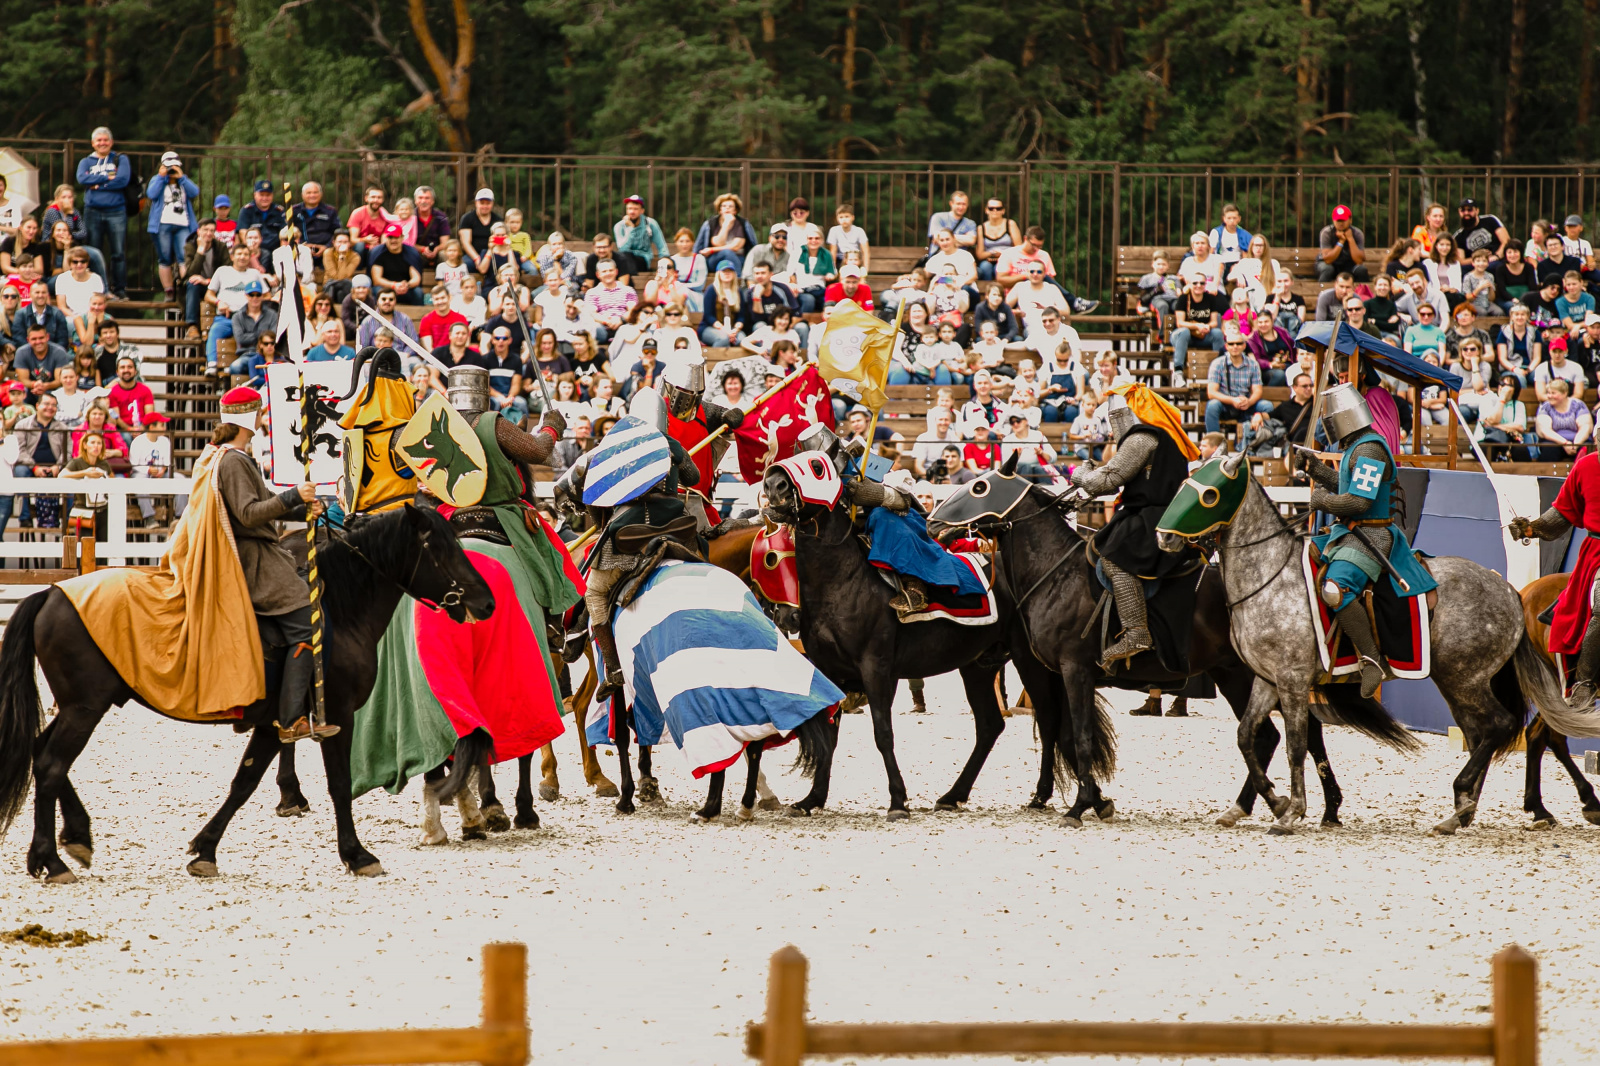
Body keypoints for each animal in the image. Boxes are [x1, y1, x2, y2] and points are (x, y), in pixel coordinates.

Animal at [0, 502, 492, 883]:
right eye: (439, 548)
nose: (485, 602)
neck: (335, 609)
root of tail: (51, 593)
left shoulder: (275, 724)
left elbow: (244, 782)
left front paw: (205, 850)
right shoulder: (336, 716)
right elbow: (337, 783)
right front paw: (357, 855)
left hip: (76, 707)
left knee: (42, 754)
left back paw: (71, 840)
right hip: (85, 707)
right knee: (50, 763)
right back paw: (53, 858)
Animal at [761, 460, 1100, 816]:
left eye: (816, 466)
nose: (773, 485)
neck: (841, 580)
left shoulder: (876, 668)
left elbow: (883, 733)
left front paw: (898, 799)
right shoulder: (829, 670)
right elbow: (829, 734)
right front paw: (812, 799)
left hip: (1029, 660)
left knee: (1047, 720)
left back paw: (1041, 795)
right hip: (979, 665)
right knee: (990, 725)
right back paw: (954, 794)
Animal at [928, 454, 1363, 819]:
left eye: (979, 487)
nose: (932, 522)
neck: (1056, 573)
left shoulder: (1072, 669)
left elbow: (1079, 736)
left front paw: (1080, 805)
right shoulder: (1058, 673)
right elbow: (1065, 733)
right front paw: (1094, 801)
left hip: (1257, 675)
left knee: (1281, 734)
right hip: (1239, 674)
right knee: (1276, 735)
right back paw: (1280, 805)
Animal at [1158, 448, 1568, 832]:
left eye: (1209, 494)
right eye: (1184, 484)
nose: (1164, 537)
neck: (1270, 577)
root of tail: (1510, 591)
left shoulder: (1292, 682)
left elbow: (1295, 745)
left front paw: (1291, 811)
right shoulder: (1266, 680)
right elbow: (1247, 736)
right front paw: (1276, 801)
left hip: (1463, 678)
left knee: (1498, 725)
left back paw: (1463, 797)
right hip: (1458, 683)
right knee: (1481, 732)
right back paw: (1461, 812)